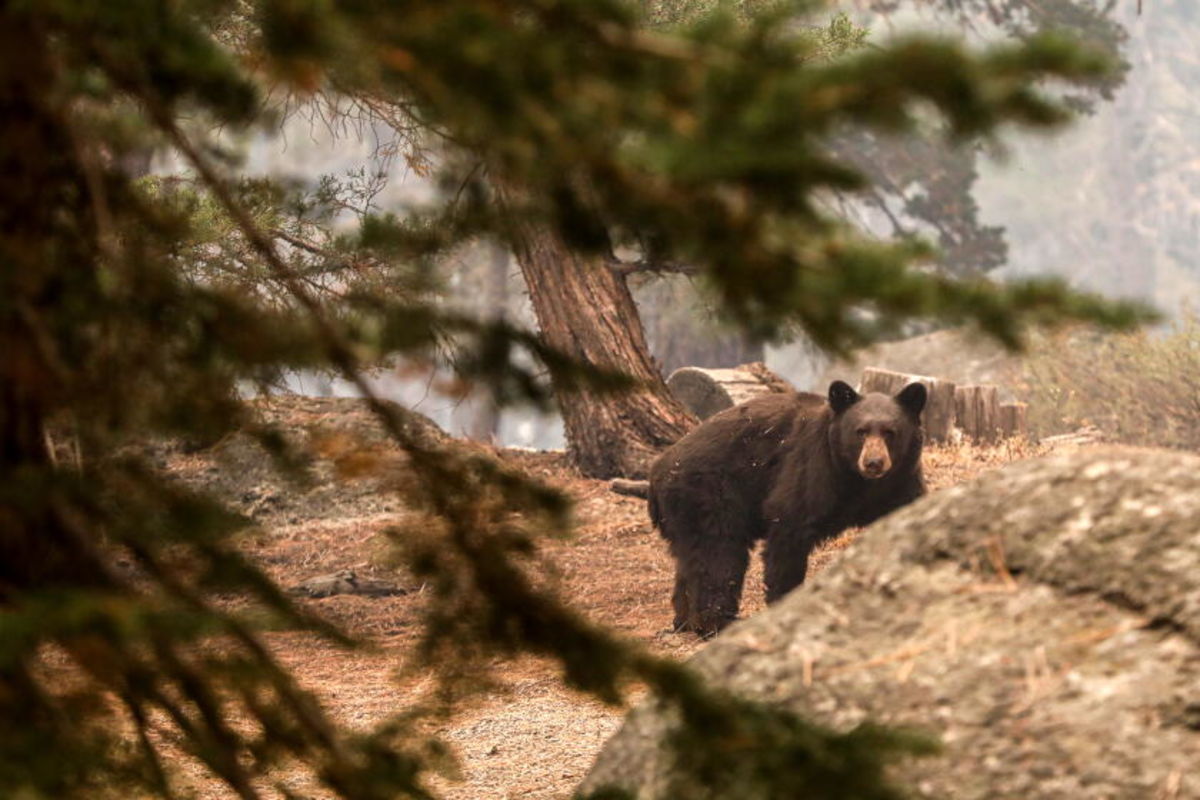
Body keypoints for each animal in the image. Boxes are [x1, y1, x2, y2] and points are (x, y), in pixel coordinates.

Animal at [648, 380, 927, 637]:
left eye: (890, 431)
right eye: (860, 431)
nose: (873, 463)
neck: (857, 479)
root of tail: (658, 471)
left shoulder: (900, 483)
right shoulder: (812, 467)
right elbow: (789, 529)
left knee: (691, 559)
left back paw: (685, 621)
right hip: (708, 495)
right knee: (718, 555)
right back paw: (717, 622)